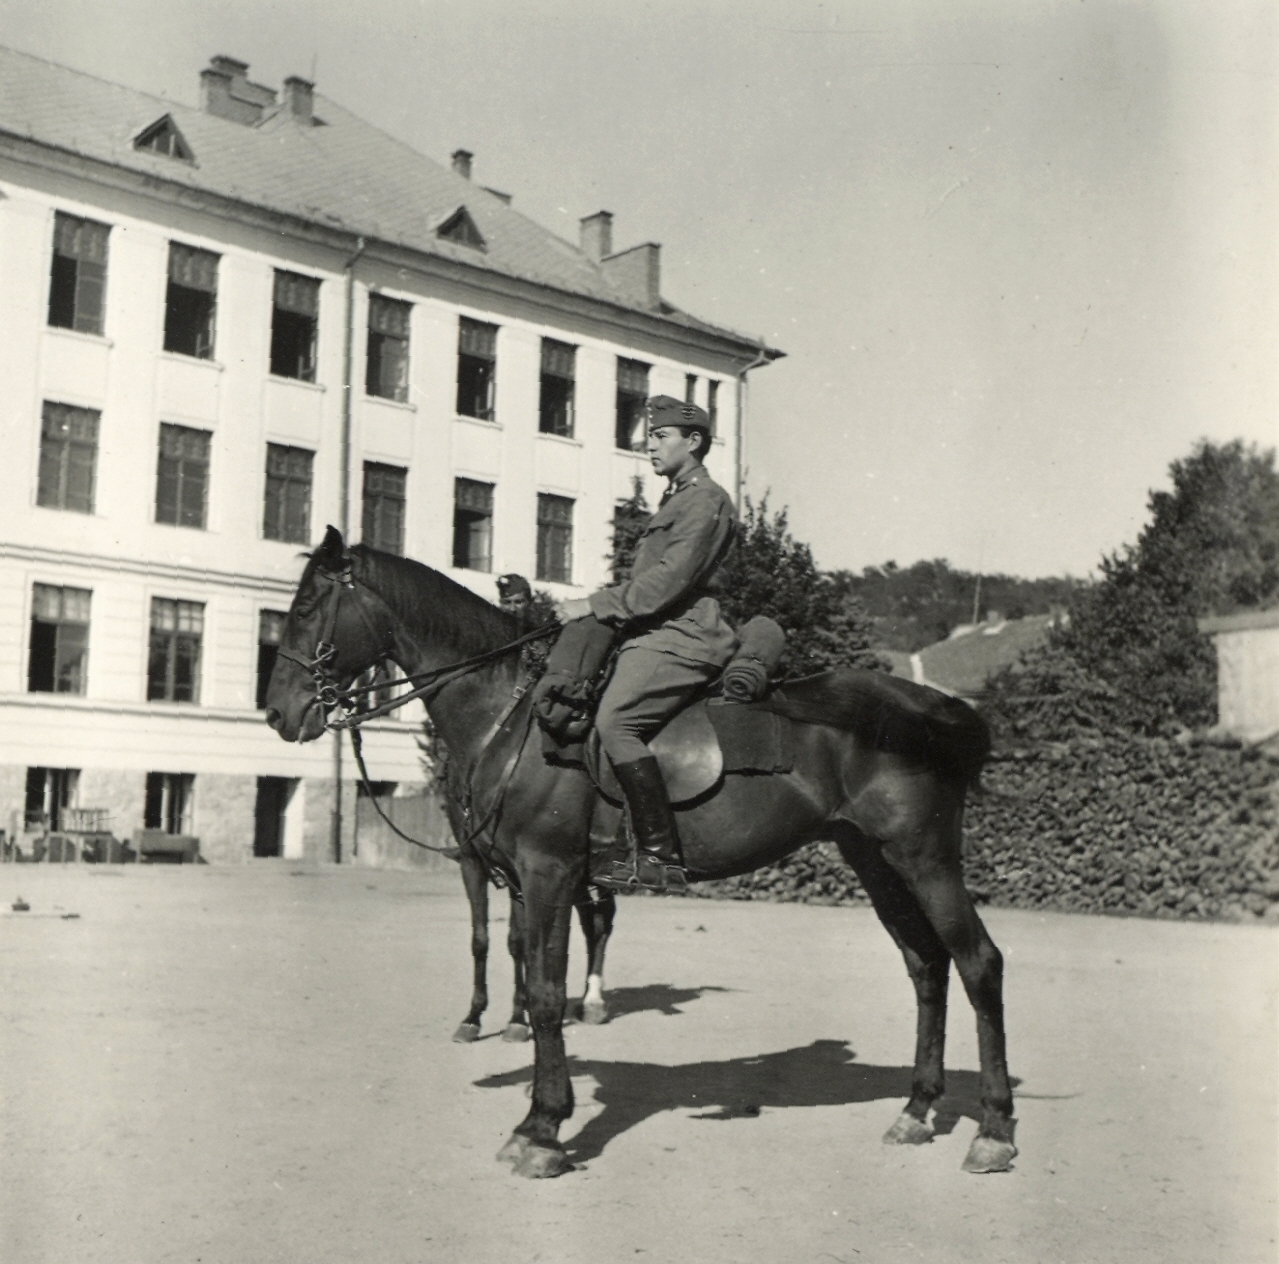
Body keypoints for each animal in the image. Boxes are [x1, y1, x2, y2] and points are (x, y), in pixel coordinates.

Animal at [264, 527, 1012, 1182]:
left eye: (304, 608)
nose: (276, 713)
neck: (510, 716)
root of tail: (936, 708)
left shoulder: (549, 873)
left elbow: (546, 994)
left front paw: (543, 1129)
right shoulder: (526, 880)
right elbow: (524, 967)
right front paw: (532, 1106)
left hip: (923, 858)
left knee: (978, 963)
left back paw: (993, 1131)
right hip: (872, 859)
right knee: (926, 965)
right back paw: (916, 1109)